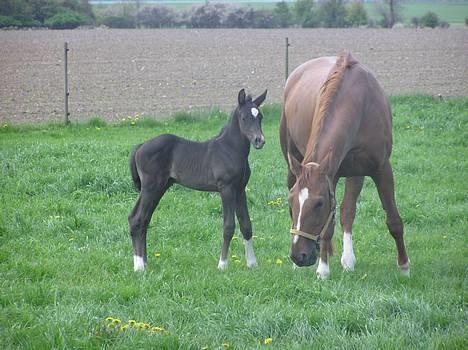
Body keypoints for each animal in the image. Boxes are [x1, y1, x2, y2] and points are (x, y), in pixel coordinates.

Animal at [128, 88, 268, 270]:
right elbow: (229, 226)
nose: (259, 141)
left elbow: (246, 224)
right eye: (244, 117)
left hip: (158, 188)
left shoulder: (240, 189)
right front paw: (222, 265)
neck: (230, 149)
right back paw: (139, 266)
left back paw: (145, 261)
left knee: (143, 219)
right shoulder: (226, 188)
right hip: (150, 187)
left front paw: (252, 263)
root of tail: (140, 146)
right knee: (137, 219)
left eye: (260, 117)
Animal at [282, 51, 410, 278]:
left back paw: (347, 259)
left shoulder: (381, 169)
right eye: (291, 201)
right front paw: (323, 270)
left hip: (355, 172)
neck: (358, 103)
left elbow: (393, 219)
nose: (299, 256)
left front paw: (404, 266)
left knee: (347, 211)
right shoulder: (331, 175)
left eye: (319, 204)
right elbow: (328, 227)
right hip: (293, 164)